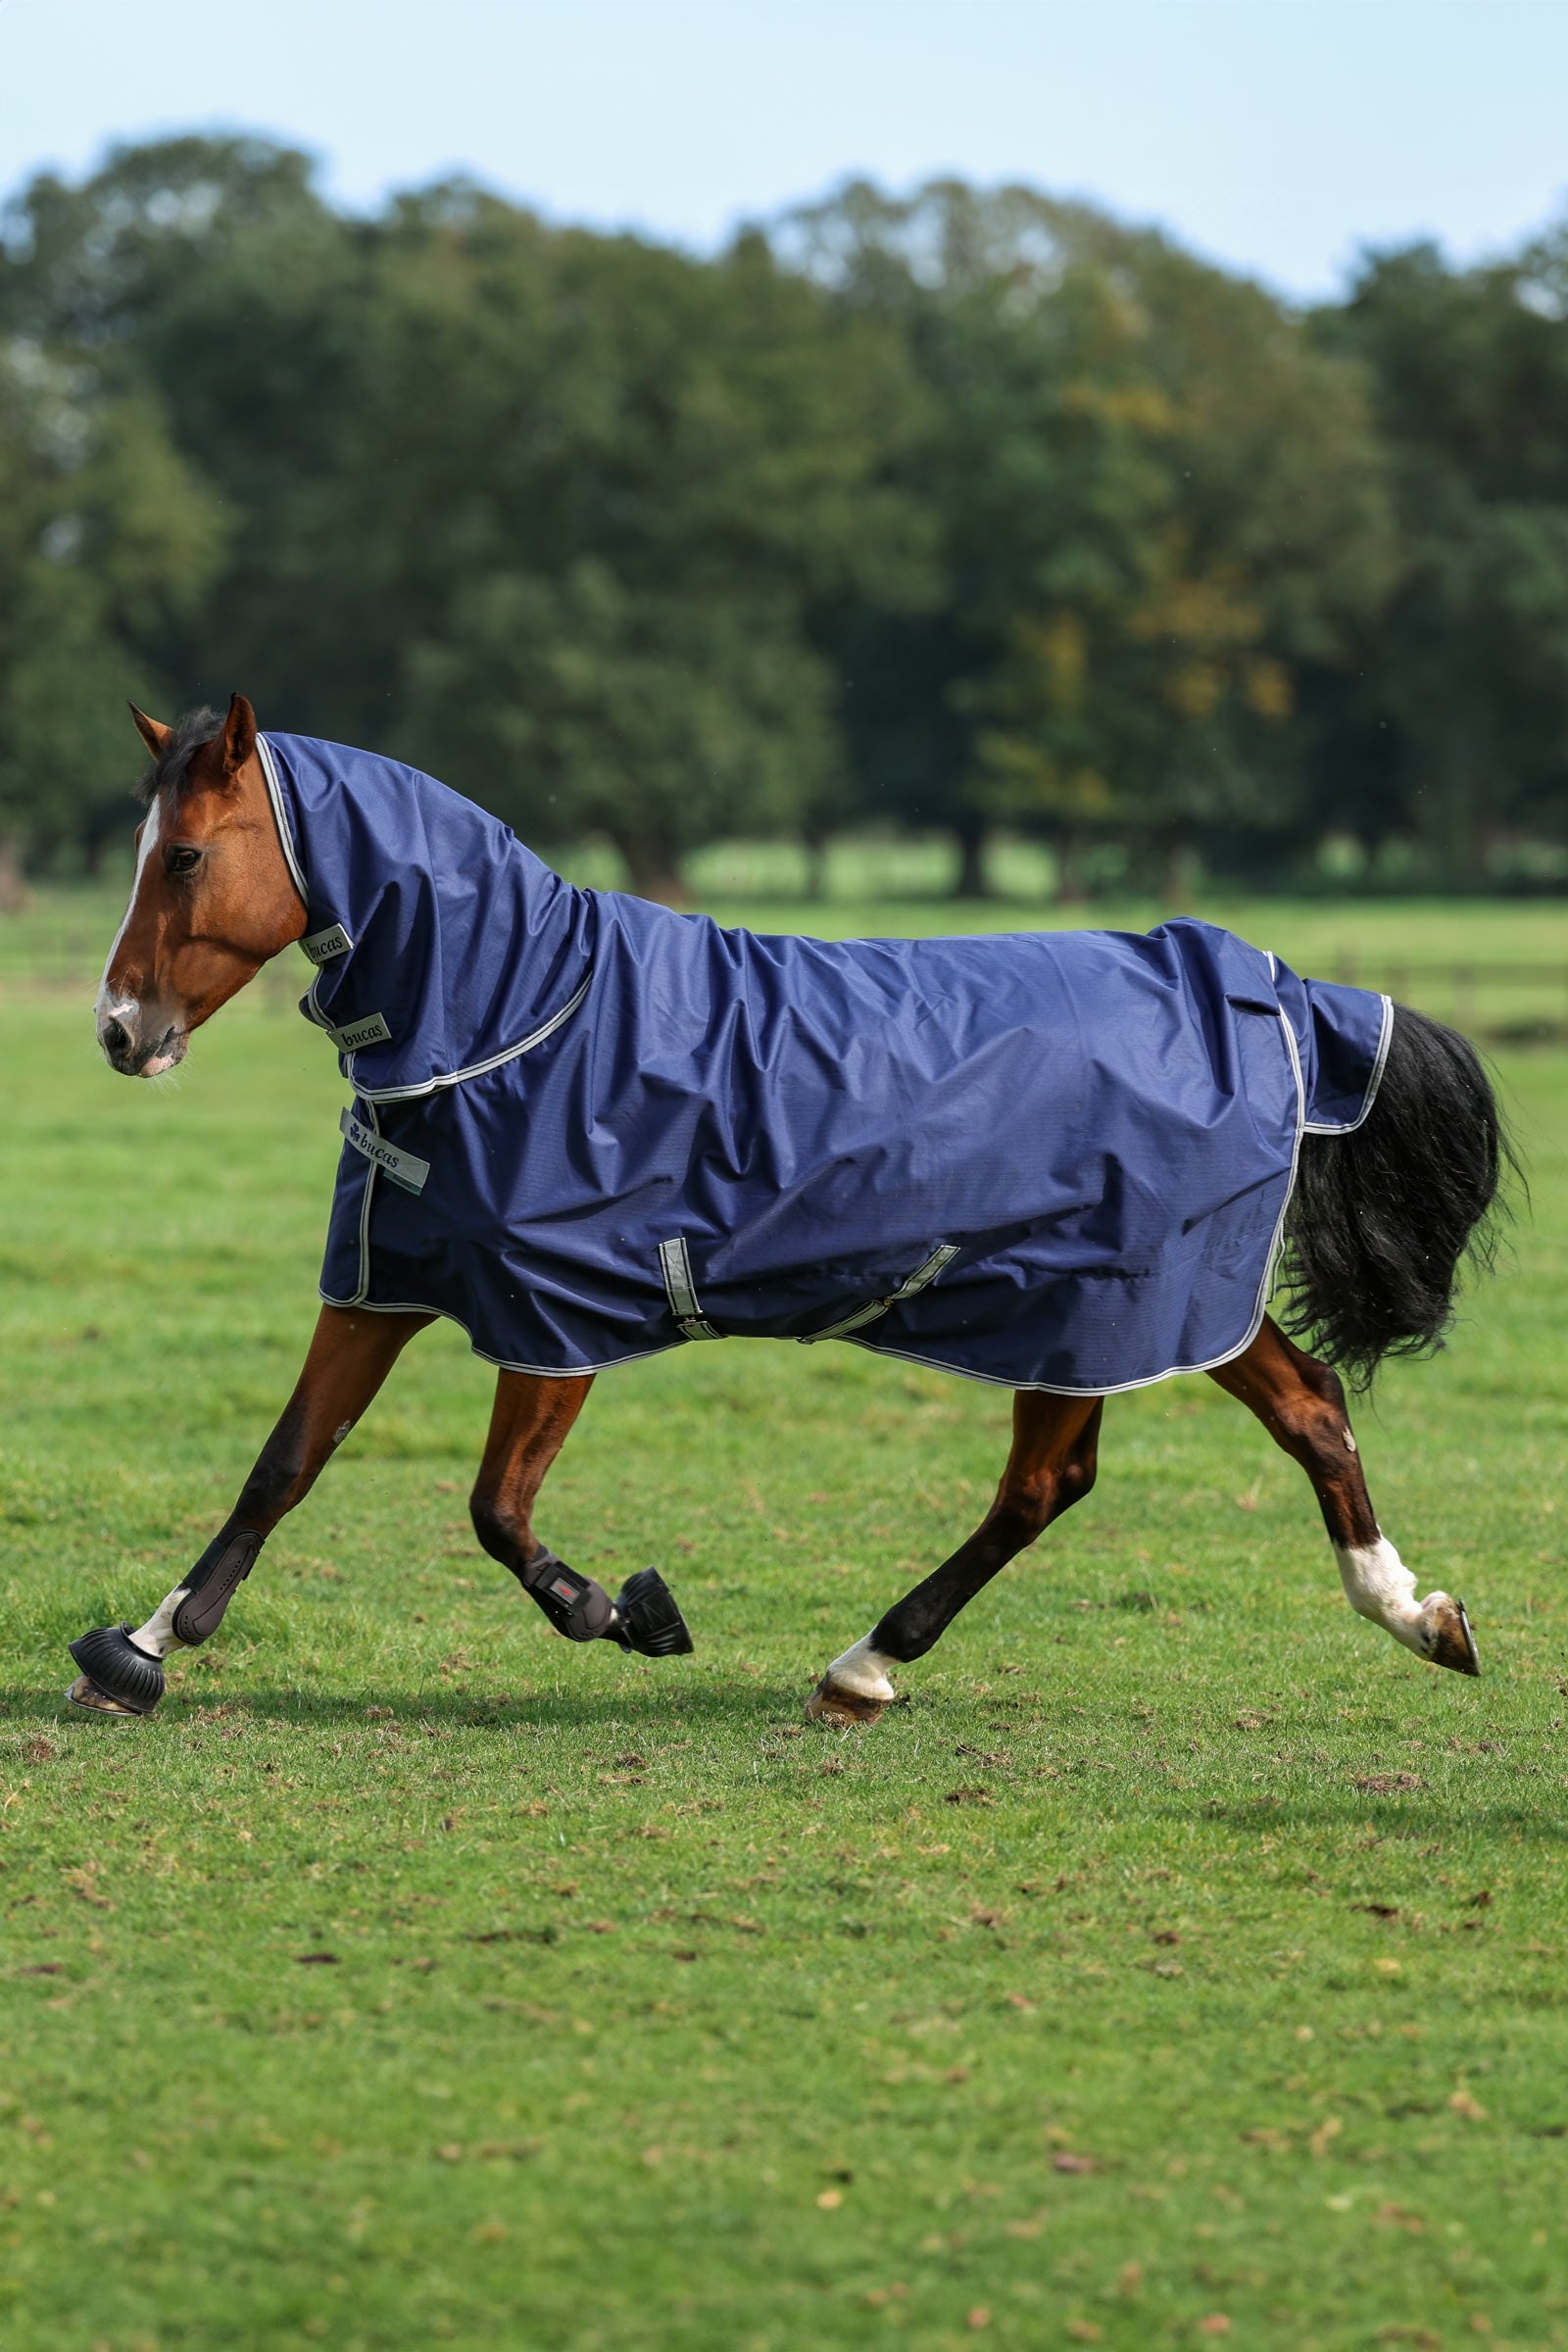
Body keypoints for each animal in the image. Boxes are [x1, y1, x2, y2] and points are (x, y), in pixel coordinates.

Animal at [68, 696, 1509, 1723]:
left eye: (184, 854)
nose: (119, 1032)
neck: (515, 1018)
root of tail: (1260, 985)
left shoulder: (555, 1320)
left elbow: (495, 1511)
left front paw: (626, 1612)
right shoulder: (385, 1283)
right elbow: (284, 1466)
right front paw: (142, 1647)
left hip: (1104, 1301)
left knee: (1062, 1480)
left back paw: (867, 1663)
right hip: (1124, 1308)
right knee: (1267, 1419)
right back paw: (1414, 1615)